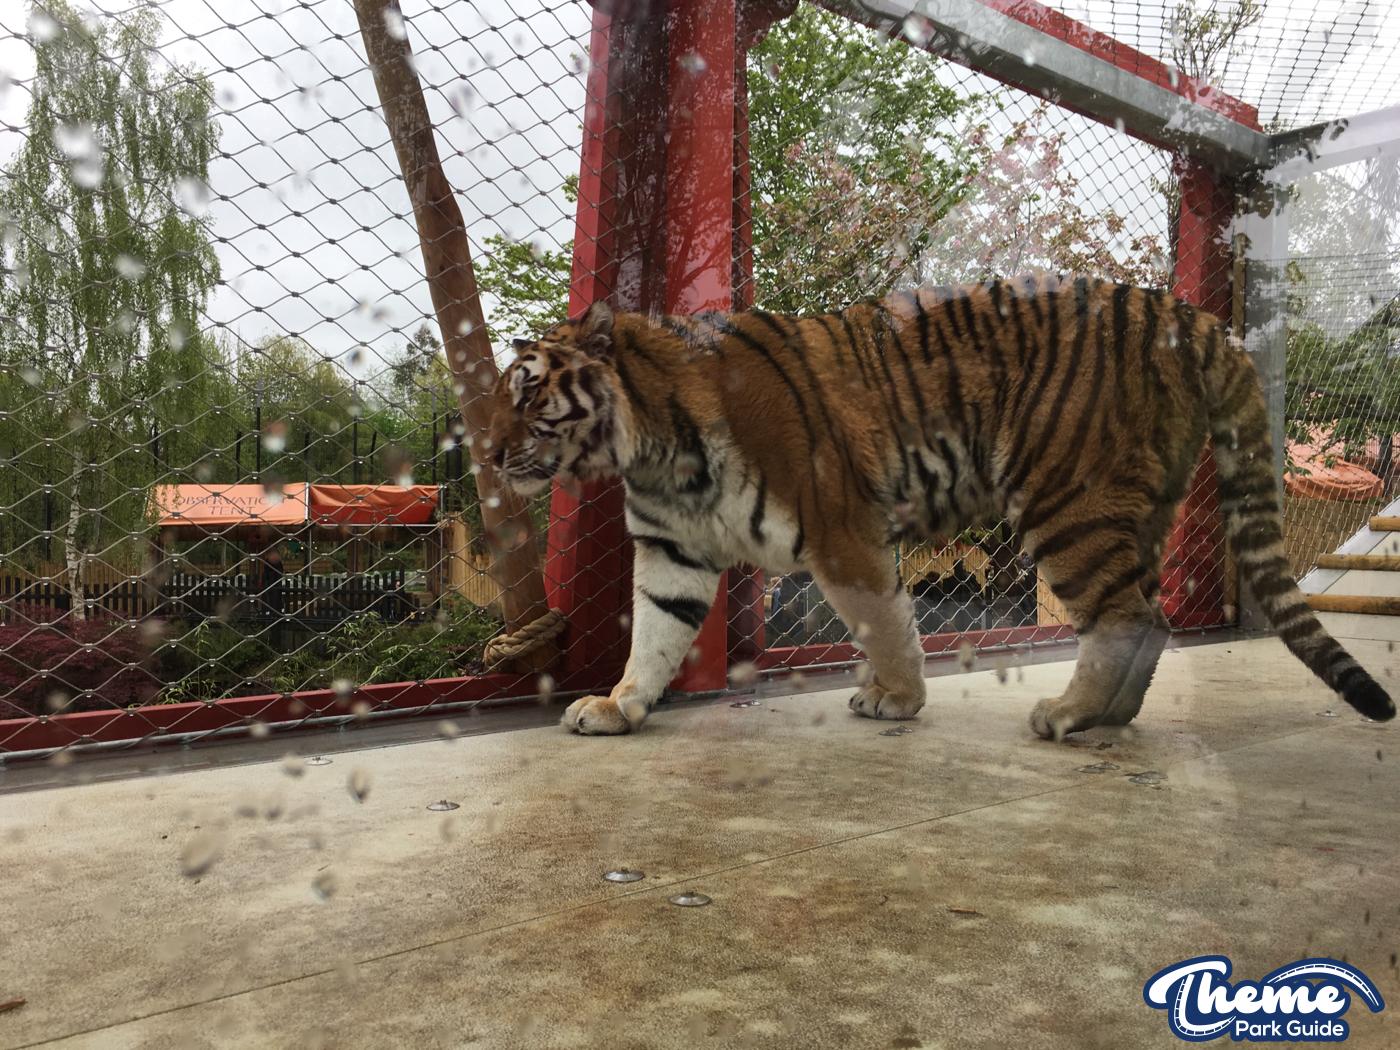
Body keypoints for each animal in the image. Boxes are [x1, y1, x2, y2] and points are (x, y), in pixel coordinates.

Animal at [486, 275, 1396, 738]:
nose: (489, 455)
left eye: (528, 399)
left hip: (1070, 499)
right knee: (1154, 617)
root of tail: (1183, 309)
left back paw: (1069, 714)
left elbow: (887, 621)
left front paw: (895, 699)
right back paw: (1107, 719)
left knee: (1127, 618)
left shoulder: (842, 528)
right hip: (1139, 508)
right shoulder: (673, 550)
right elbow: (657, 634)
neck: (647, 448)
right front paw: (619, 705)